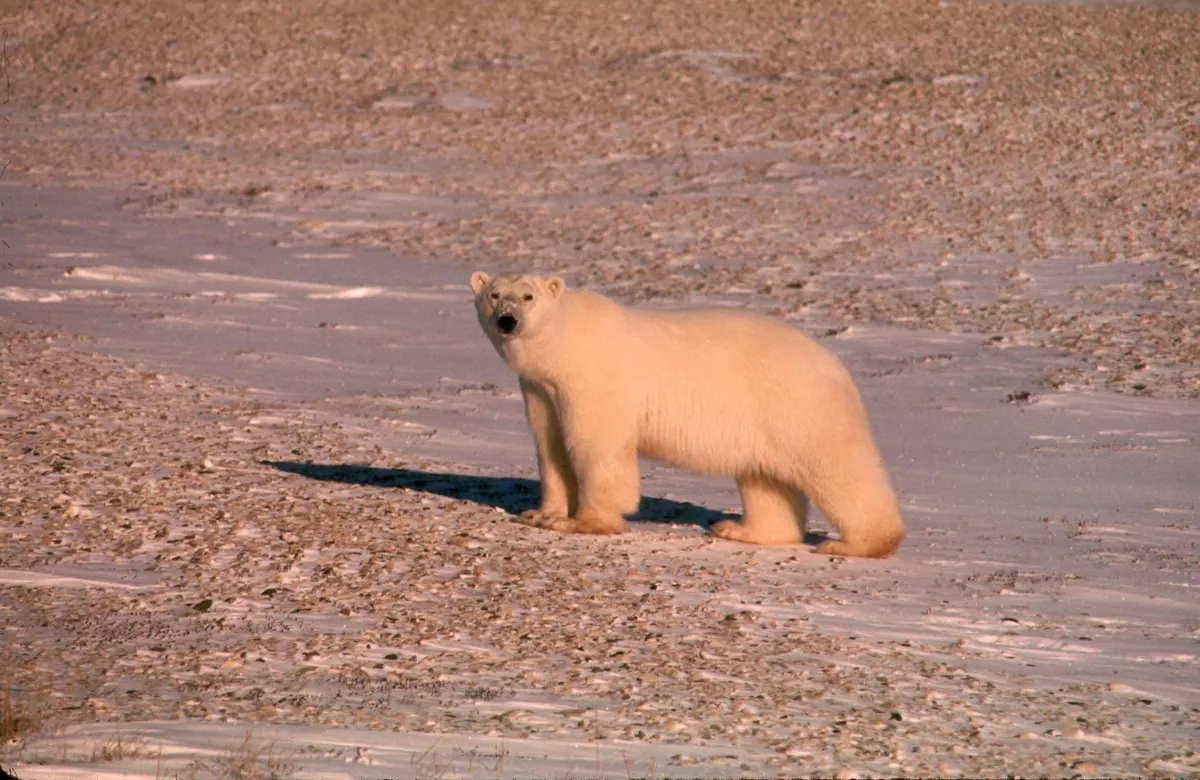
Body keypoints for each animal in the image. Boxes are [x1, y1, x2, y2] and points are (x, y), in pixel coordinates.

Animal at [469, 271, 905, 558]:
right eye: (494, 294)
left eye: (527, 297)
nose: (507, 320)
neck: (566, 341)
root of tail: (835, 365)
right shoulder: (540, 389)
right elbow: (551, 446)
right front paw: (541, 514)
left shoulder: (596, 379)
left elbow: (596, 446)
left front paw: (586, 522)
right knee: (764, 478)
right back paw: (741, 530)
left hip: (799, 405)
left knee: (837, 468)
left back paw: (856, 543)